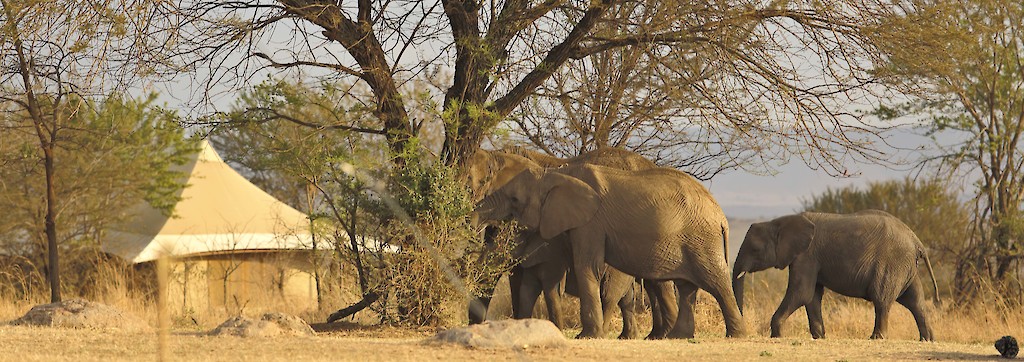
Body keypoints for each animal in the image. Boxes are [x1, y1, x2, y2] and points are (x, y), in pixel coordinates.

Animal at [471, 163, 745, 339]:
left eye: (515, 200)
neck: (558, 173)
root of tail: (721, 216)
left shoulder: (591, 223)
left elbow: (586, 267)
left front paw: (586, 337)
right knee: (687, 287)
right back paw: (677, 337)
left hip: (702, 240)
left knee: (716, 282)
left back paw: (737, 336)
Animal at [733, 207, 937, 341]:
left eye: (755, 249)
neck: (778, 222)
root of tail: (916, 240)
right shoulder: (809, 258)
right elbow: (811, 296)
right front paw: (819, 337)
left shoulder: (806, 255)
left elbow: (801, 293)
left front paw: (776, 335)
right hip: (905, 266)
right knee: (915, 301)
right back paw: (927, 339)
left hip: (892, 262)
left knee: (882, 300)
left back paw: (876, 338)